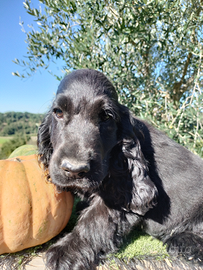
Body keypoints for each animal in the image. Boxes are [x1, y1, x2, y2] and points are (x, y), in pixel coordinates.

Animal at [37, 68, 203, 268]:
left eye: (106, 116)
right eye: (58, 112)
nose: (75, 169)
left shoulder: (123, 195)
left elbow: (95, 219)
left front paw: (66, 251)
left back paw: (184, 242)